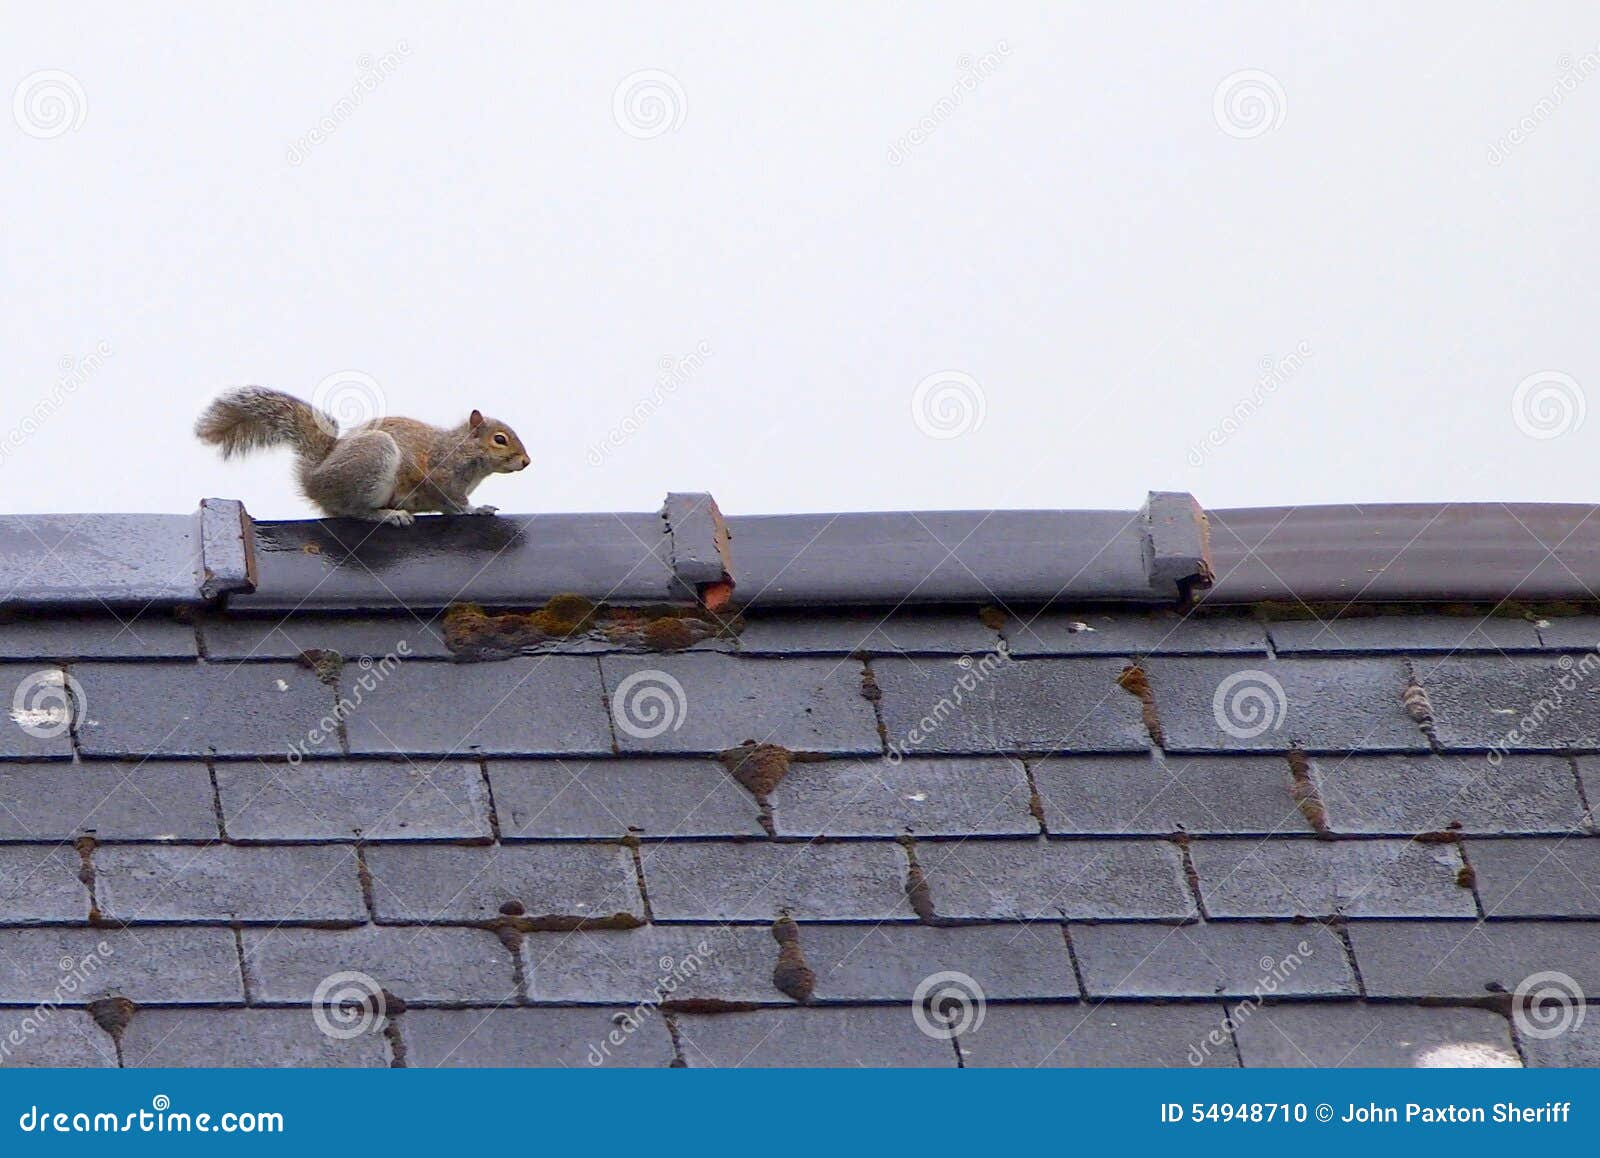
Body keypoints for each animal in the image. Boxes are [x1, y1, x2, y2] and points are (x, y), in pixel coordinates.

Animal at [195, 387, 530, 525]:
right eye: (499, 439)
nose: (526, 462)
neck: (461, 449)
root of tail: (314, 479)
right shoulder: (440, 475)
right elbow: (454, 503)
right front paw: (476, 510)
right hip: (373, 463)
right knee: (352, 510)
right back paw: (387, 515)